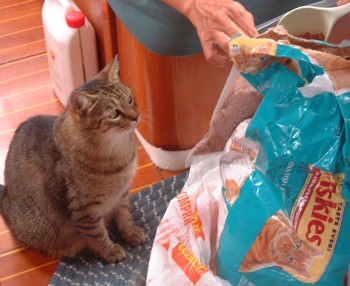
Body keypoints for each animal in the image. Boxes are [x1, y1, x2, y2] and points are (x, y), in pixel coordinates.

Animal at [0, 57, 145, 262]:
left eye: (130, 99)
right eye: (114, 114)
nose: (136, 116)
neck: (119, 150)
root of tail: (5, 197)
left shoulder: (122, 194)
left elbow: (125, 217)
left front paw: (131, 233)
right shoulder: (84, 212)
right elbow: (98, 235)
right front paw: (111, 251)